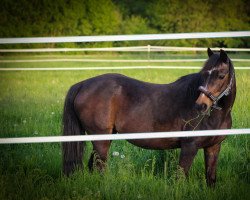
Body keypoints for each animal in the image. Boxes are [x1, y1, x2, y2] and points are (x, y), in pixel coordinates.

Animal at [62, 48, 236, 186]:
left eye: (221, 75)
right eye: (204, 74)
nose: (201, 105)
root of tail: (82, 85)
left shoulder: (213, 147)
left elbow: (211, 178)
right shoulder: (189, 147)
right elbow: (180, 178)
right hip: (101, 139)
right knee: (100, 167)